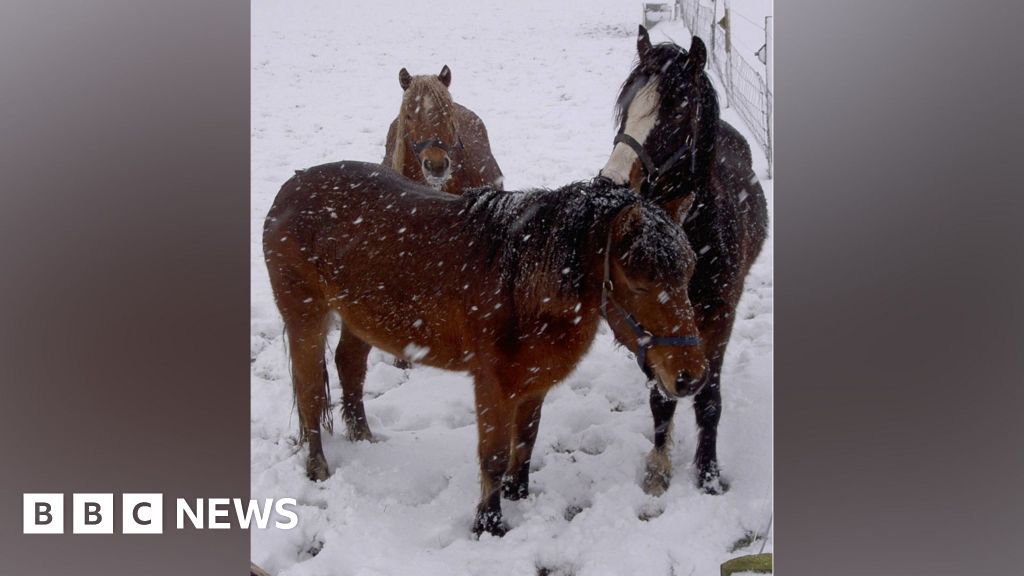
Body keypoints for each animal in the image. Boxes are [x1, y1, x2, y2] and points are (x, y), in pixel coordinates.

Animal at [262, 162, 705, 536]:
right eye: (639, 283)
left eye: (689, 272)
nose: (692, 378)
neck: (521, 285)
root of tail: (287, 191)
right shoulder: (492, 386)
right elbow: (492, 455)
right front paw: (489, 525)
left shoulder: (533, 384)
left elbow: (525, 441)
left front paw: (517, 495)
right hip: (306, 320)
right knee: (309, 390)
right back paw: (318, 468)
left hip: (360, 319)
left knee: (350, 367)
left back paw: (364, 438)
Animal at [598, 28, 769, 496]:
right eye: (625, 108)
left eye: (674, 114)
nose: (609, 183)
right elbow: (662, 396)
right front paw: (659, 468)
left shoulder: (720, 318)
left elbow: (708, 398)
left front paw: (708, 473)